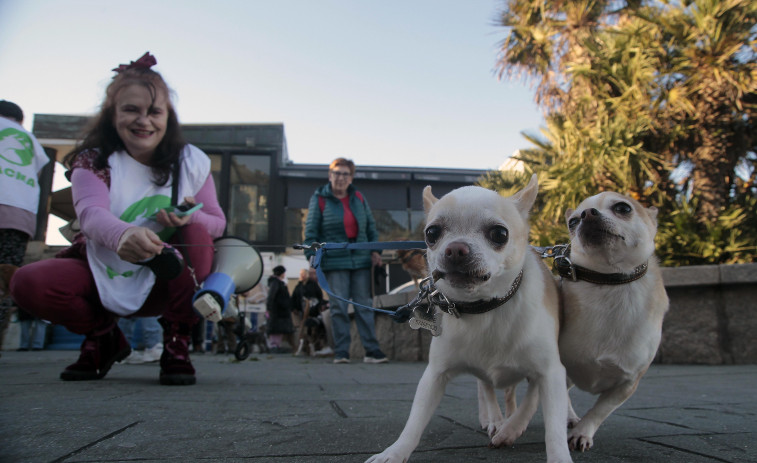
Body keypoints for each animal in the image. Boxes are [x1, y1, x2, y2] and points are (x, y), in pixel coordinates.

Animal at [556, 192, 668, 454]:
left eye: (623, 208)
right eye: (573, 222)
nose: (587, 214)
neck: (610, 282)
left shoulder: (628, 383)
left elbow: (600, 410)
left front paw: (582, 433)